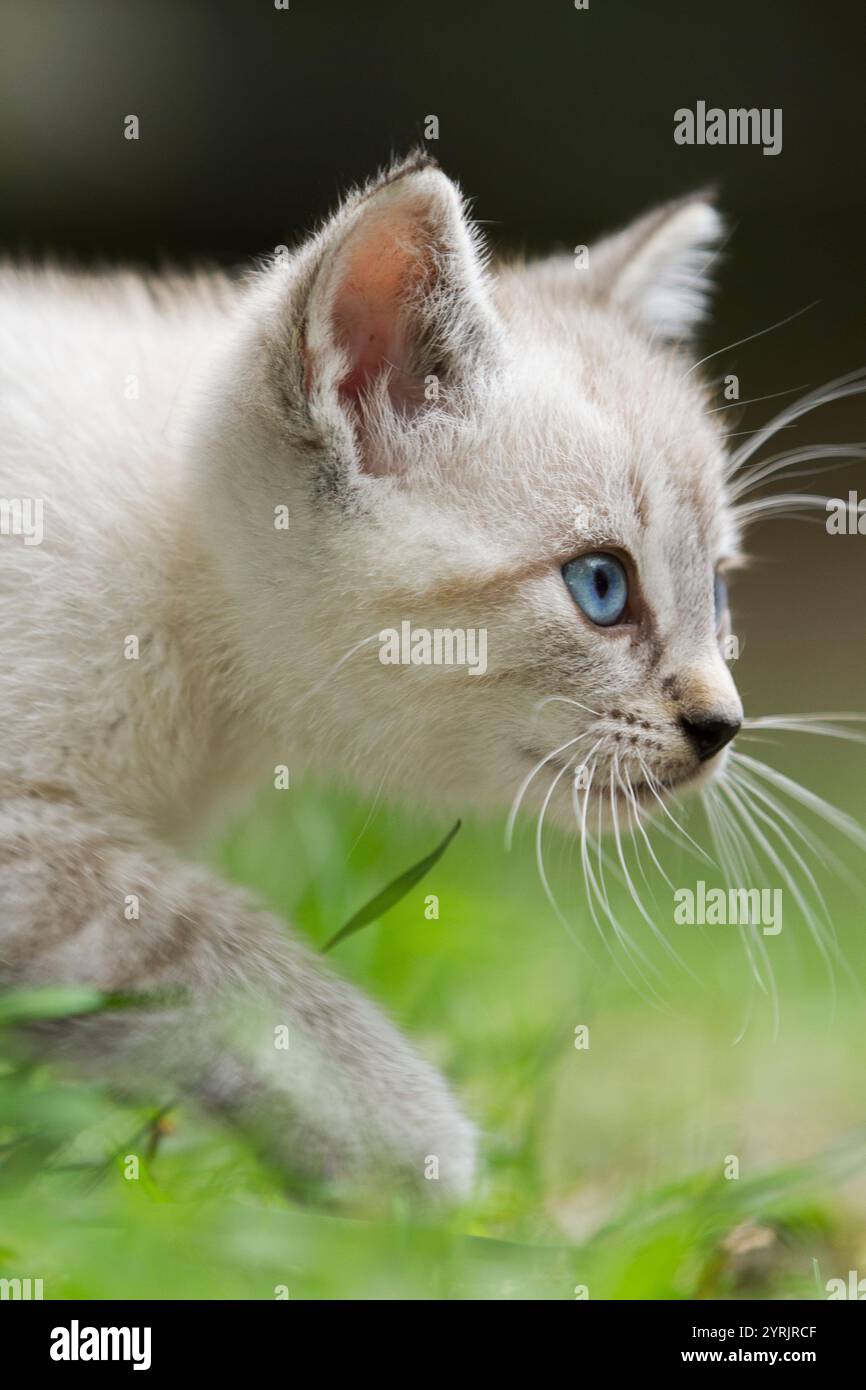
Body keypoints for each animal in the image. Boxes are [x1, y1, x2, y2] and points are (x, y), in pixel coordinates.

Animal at [0, 149, 745, 1195]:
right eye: (601, 586)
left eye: (716, 592)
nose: (723, 724)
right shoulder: (36, 845)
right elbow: (214, 953)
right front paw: (414, 1147)